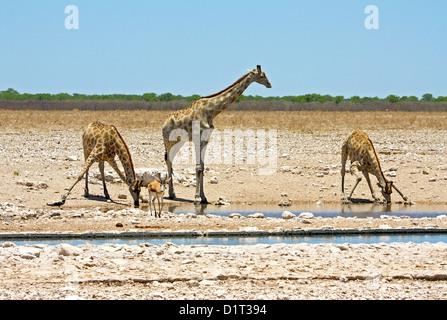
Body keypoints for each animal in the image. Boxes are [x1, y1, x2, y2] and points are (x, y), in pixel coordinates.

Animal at [162, 65, 272, 204]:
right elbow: (198, 167)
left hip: (179, 141)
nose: (269, 84)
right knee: (168, 160)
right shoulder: (198, 139)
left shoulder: (205, 139)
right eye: (262, 76)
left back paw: (172, 194)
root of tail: (164, 123)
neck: (211, 112)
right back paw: (171, 194)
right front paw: (197, 197)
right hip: (168, 141)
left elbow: (202, 167)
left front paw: (203, 197)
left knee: (170, 160)